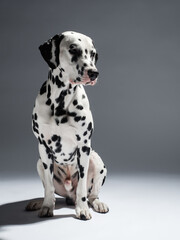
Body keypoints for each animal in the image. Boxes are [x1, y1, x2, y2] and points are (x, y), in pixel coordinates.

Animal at [26, 31, 109, 220]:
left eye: (92, 53)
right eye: (73, 50)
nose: (94, 73)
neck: (61, 100)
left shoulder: (84, 147)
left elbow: (82, 188)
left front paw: (83, 208)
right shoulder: (43, 147)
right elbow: (49, 187)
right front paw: (47, 206)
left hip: (97, 161)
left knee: (91, 194)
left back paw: (97, 203)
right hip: (39, 163)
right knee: (47, 189)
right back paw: (39, 202)